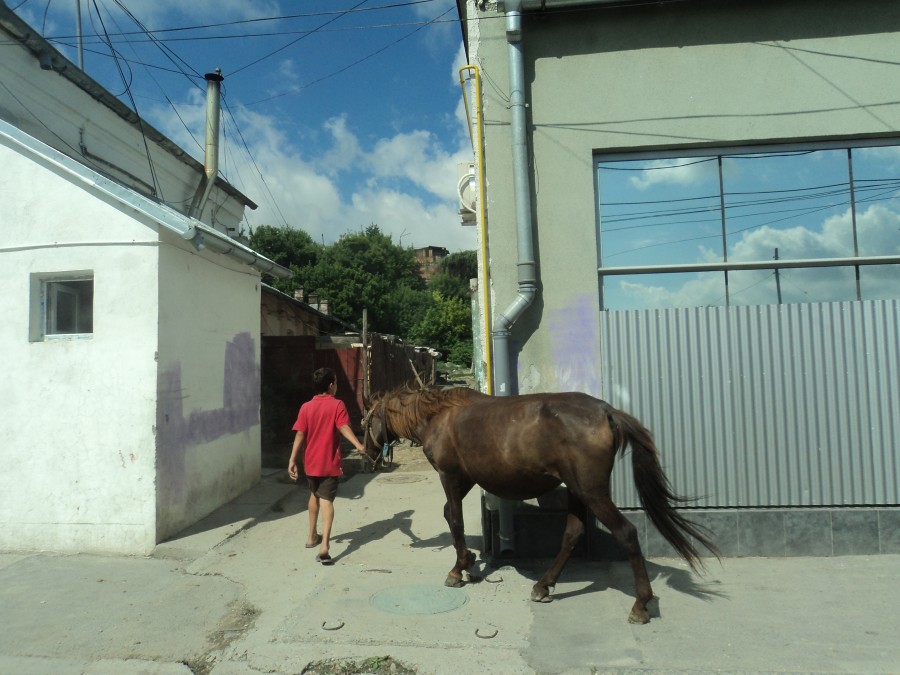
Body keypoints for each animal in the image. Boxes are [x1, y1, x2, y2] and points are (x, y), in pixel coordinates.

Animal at [362, 386, 720, 624]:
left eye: (366, 421)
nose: (367, 458)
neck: (440, 415)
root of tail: (606, 411)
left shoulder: (450, 476)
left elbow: (456, 520)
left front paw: (459, 568)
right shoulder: (467, 478)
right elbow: (451, 515)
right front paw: (470, 562)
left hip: (591, 492)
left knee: (627, 533)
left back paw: (640, 605)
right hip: (576, 492)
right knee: (572, 534)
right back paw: (544, 586)